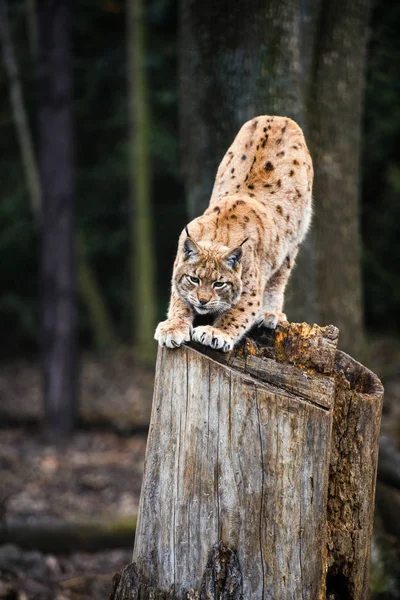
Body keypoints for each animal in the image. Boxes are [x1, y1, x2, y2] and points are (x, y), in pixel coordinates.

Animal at [155, 114, 314, 352]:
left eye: (219, 284)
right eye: (194, 279)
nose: (202, 301)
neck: (218, 236)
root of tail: (276, 117)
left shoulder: (250, 292)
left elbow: (236, 314)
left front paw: (217, 332)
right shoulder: (179, 269)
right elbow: (179, 301)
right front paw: (173, 326)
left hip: (293, 241)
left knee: (279, 280)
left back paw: (271, 313)